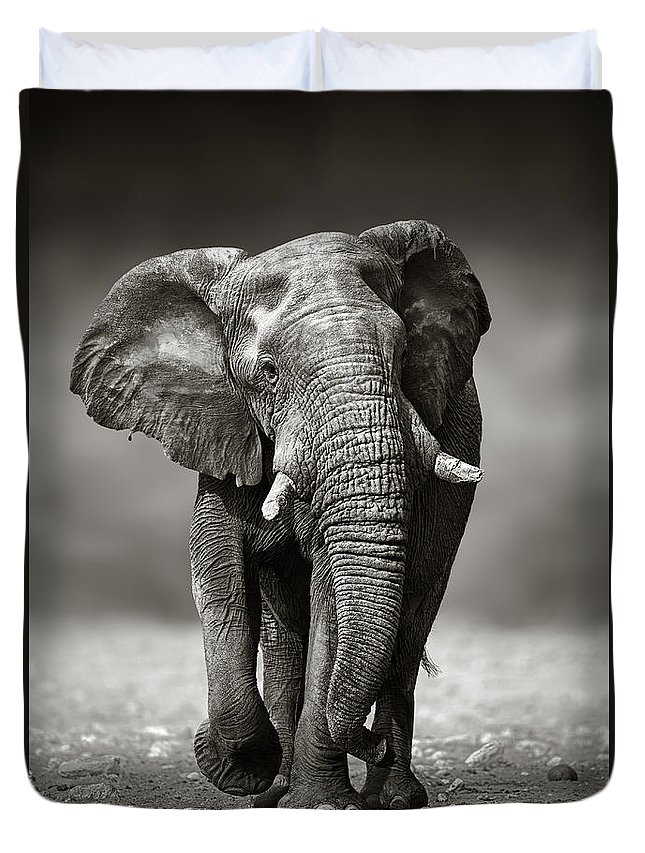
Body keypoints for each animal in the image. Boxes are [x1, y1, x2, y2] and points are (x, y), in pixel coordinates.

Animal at [70, 220, 491, 809]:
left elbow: (332, 594)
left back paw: (391, 798)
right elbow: (217, 572)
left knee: (410, 623)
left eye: (404, 353)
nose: (372, 741)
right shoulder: (223, 430)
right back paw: (280, 787)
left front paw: (322, 804)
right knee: (284, 635)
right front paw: (242, 767)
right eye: (267, 373)